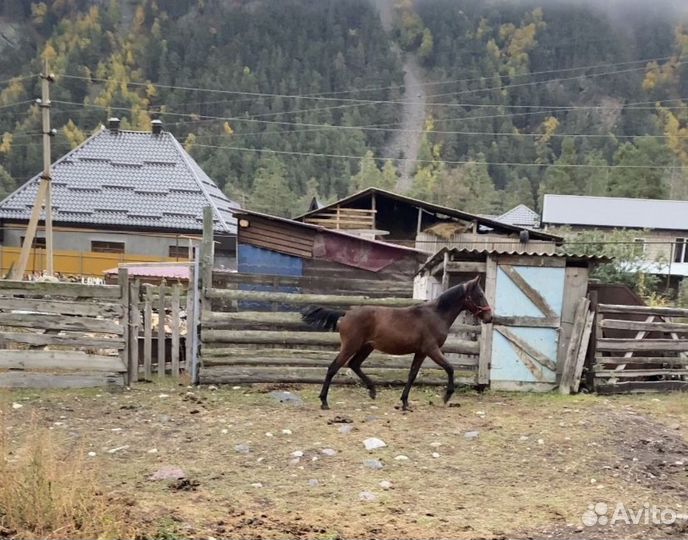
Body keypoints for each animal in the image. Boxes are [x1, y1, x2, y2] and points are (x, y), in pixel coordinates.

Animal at [302, 275, 493, 411]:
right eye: (480, 295)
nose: (489, 317)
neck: (436, 315)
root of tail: (346, 313)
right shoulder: (431, 349)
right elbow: (450, 368)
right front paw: (446, 396)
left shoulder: (421, 352)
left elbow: (412, 374)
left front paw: (405, 403)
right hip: (351, 346)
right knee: (333, 367)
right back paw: (324, 402)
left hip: (366, 347)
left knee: (354, 365)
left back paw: (372, 391)